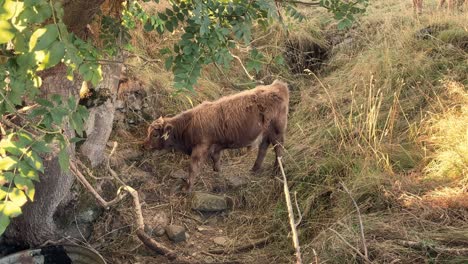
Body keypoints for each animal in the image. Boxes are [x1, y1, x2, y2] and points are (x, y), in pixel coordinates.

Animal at [144, 79, 288, 191]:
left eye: (155, 135)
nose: (144, 145)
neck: (189, 124)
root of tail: (277, 85)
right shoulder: (216, 146)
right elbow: (216, 161)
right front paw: (218, 174)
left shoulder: (201, 147)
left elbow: (193, 167)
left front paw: (187, 188)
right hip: (266, 133)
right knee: (263, 148)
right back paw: (255, 169)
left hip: (276, 132)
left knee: (279, 149)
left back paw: (276, 171)